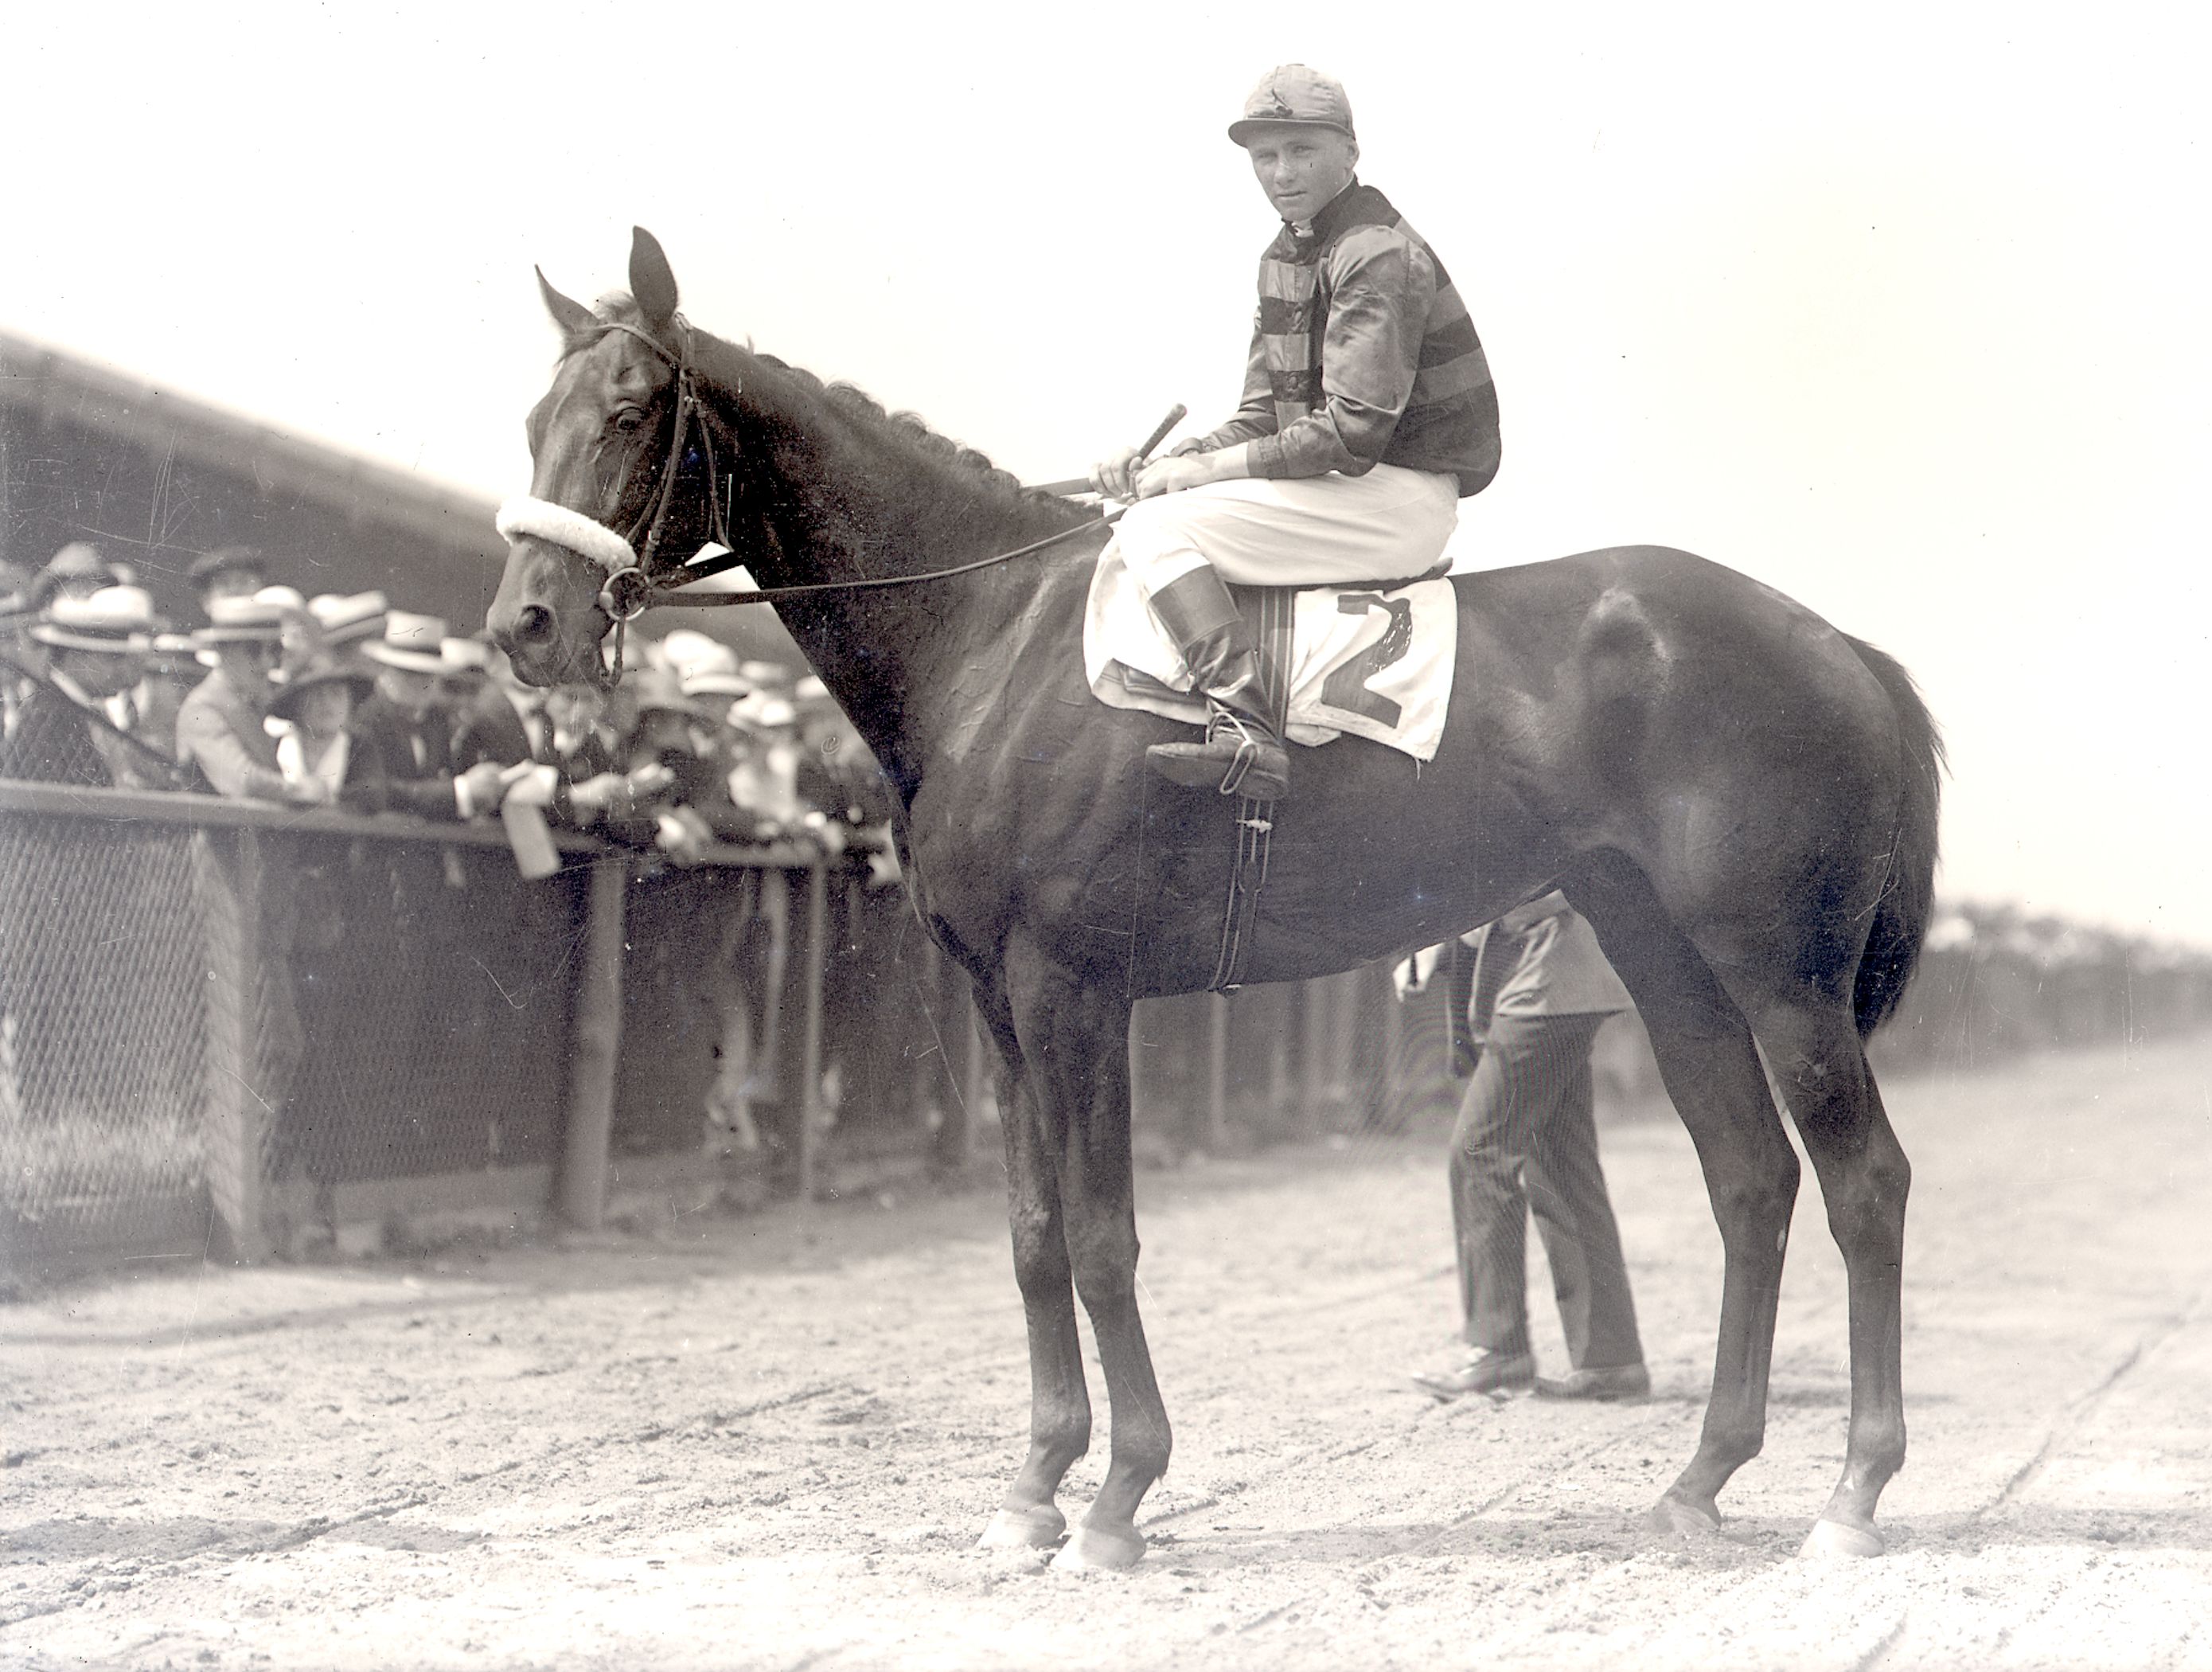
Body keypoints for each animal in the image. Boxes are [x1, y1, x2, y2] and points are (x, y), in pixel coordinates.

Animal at [493, 225, 1946, 1565]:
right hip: (1664, 960)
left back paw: (1852, 1495)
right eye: (529, 418)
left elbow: (1100, 1239)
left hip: (1778, 976)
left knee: (1862, 1182)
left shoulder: (1074, 990)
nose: (524, 626)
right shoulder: (998, 1005)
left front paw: (1117, 1498)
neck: (994, 641)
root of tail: (1839, 646)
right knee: (1749, 1182)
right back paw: (1699, 1478)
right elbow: (1031, 1237)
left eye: (629, 412)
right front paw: (1033, 1490)